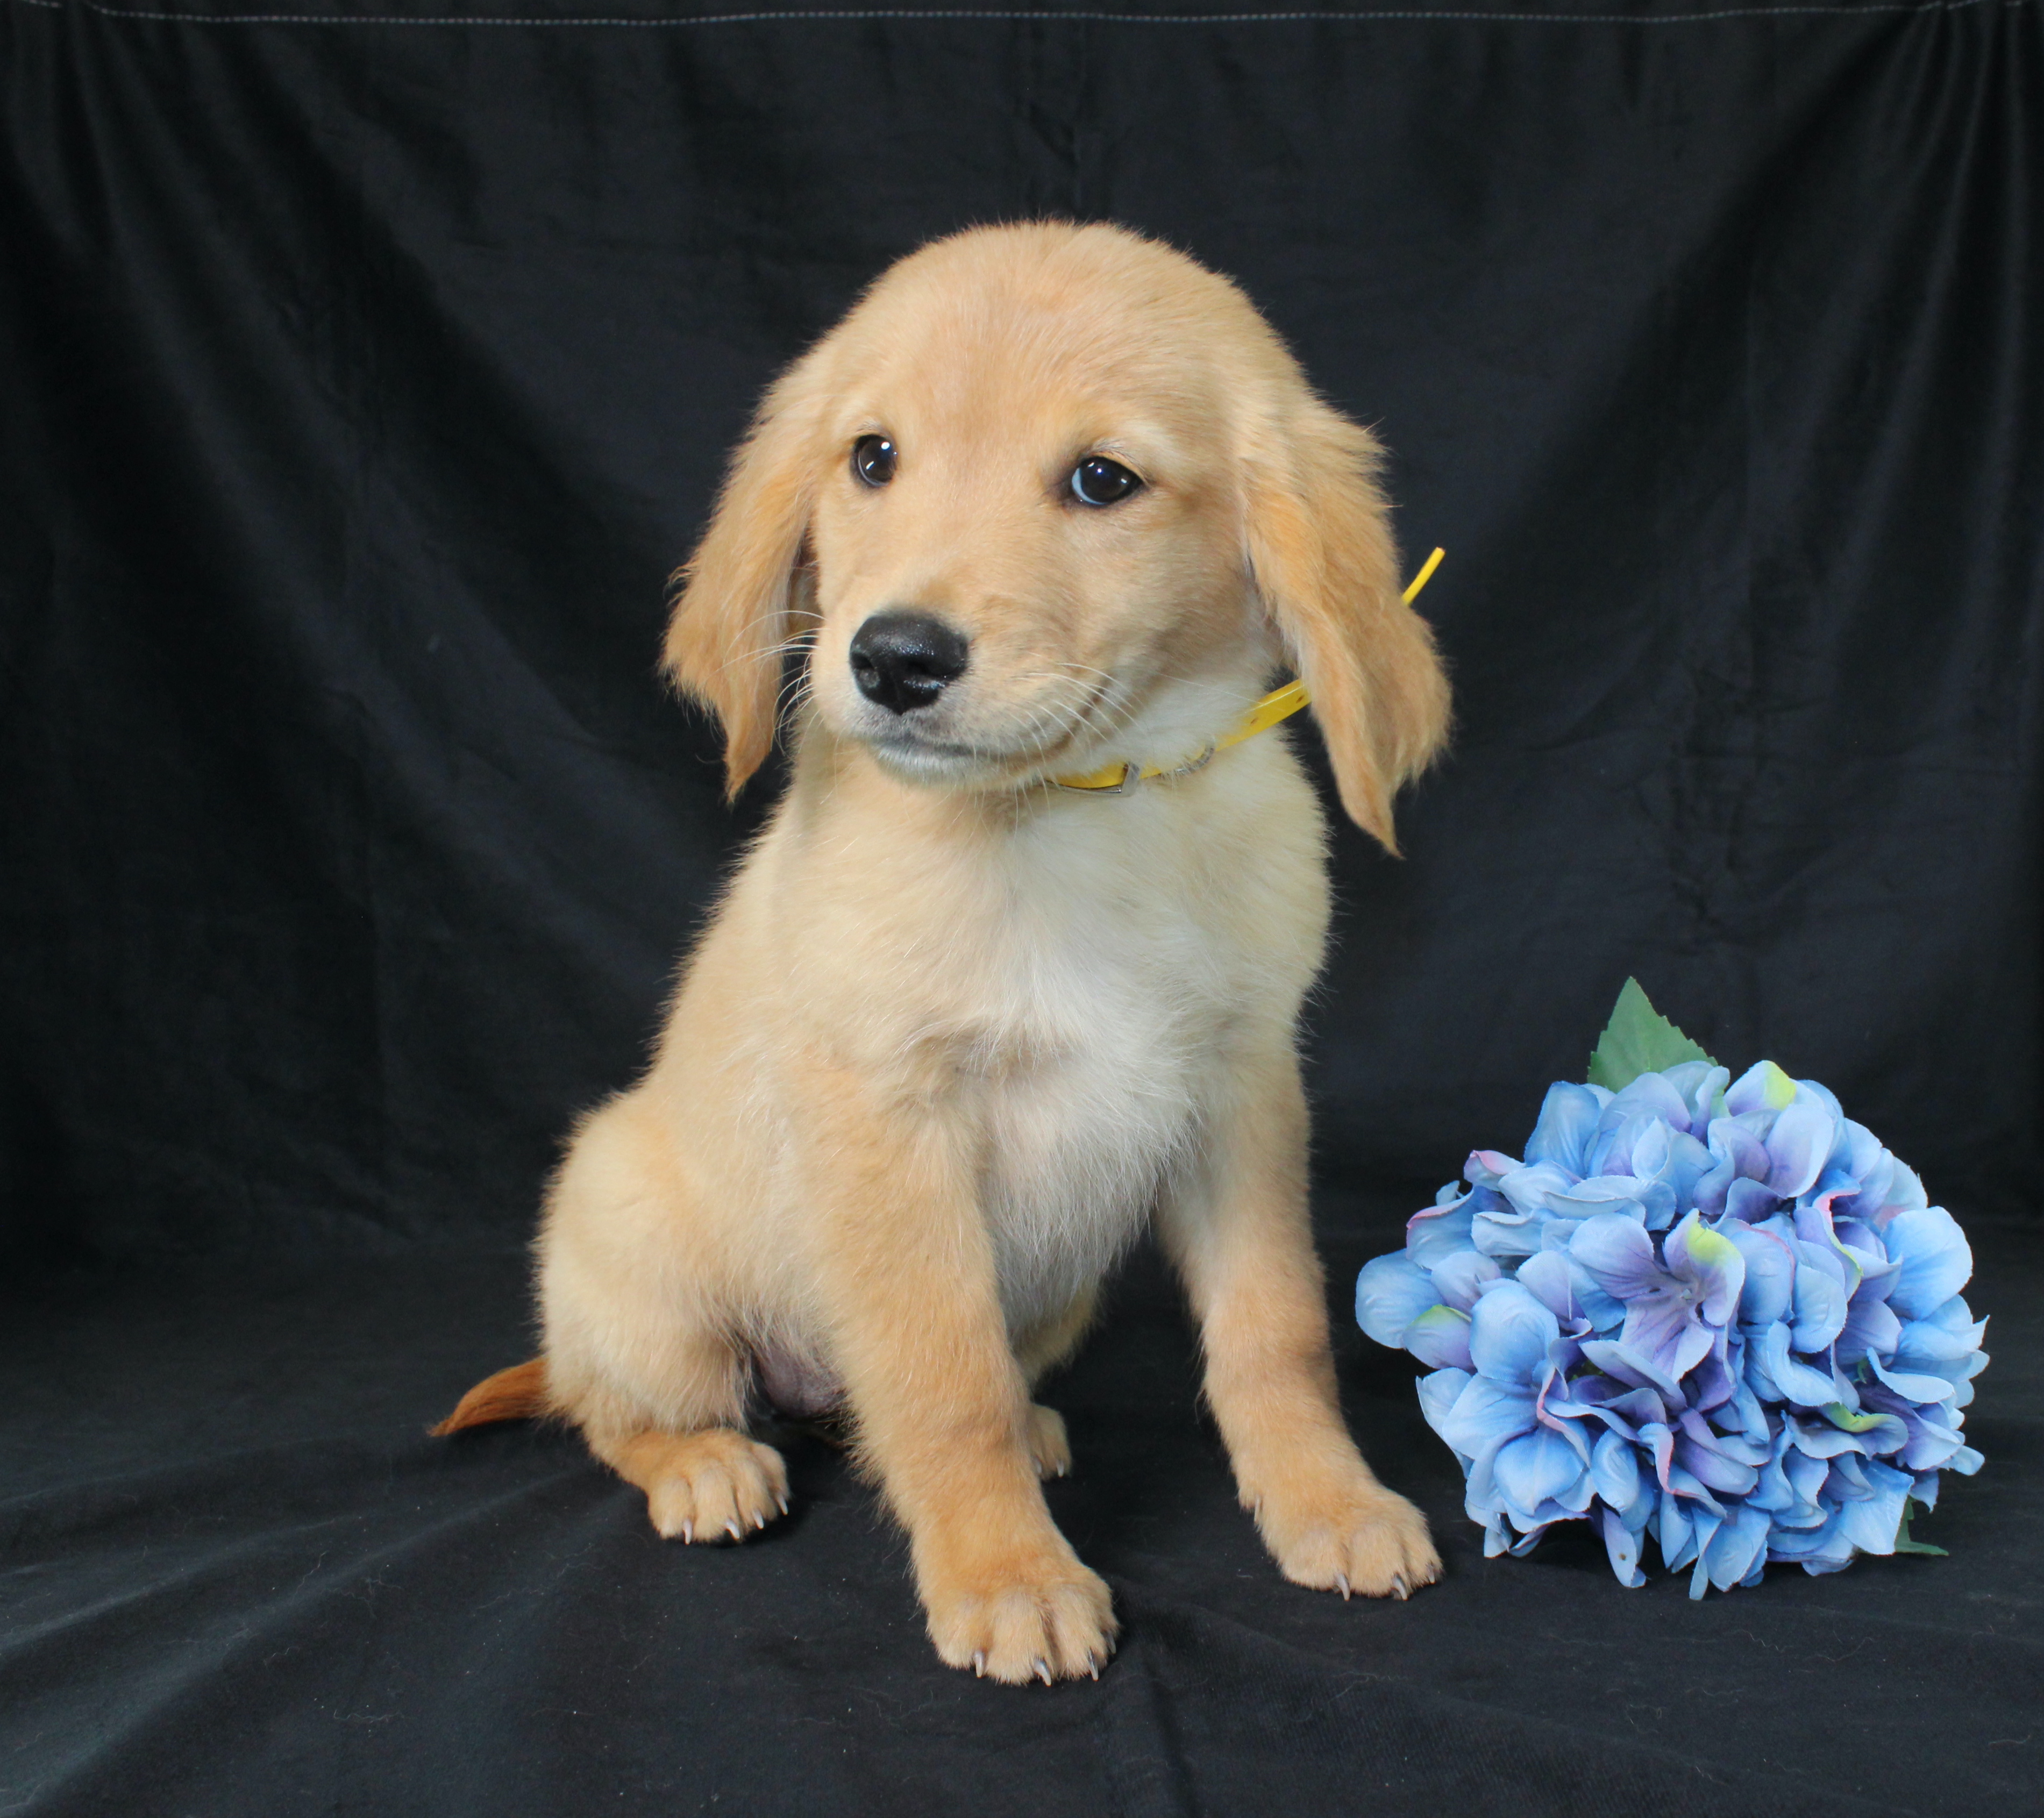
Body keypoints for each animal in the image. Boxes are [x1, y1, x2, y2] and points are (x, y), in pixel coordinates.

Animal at [435, 219, 1455, 1683]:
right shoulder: (894, 1120)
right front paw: (1004, 1570)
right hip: (631, 1243)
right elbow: (942, 1379)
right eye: (872, 459)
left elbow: (1277, 1333)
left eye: (1103, 480)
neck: (1081, 818)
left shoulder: (1242, 1094)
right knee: (610, 1408)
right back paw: (705, 1465)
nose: (895, 659)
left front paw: (1327, 1499)